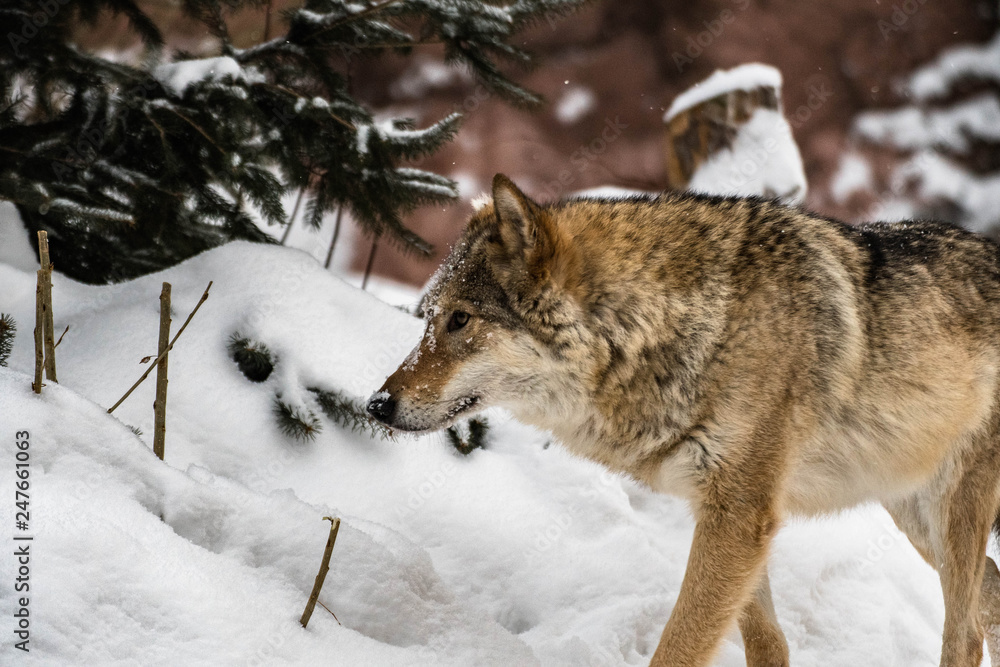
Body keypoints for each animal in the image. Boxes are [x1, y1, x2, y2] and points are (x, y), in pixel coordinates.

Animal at [367, 173, 1000, 666]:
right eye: (427, 318)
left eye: (459, 320)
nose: (376, 405)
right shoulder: (734, 515)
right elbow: (767, 644)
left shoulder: (739, 516)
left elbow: (679, 647)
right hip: (915, 517)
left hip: (951, 512)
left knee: (964, 635)